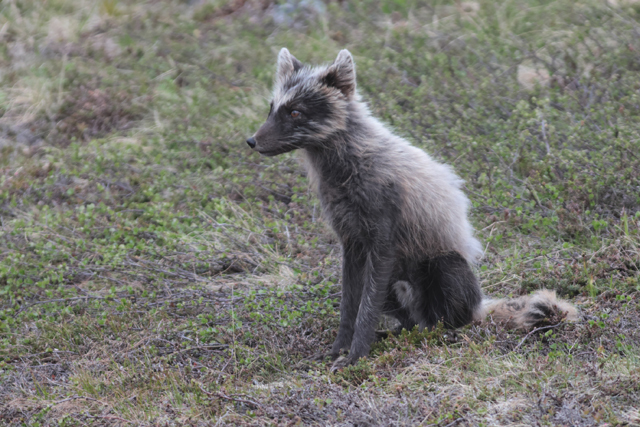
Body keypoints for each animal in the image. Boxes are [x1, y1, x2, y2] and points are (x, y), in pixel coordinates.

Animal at [248, 48, 576, 370]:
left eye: (295, 112)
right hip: (391, 285)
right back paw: (394, 334)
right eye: (271, 108)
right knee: (408, 324)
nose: (251, 141)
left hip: (443, 266)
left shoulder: (382, 243)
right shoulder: (352, 244)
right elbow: (350, 307)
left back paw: (439, 336)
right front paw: (338, 349)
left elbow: (365, 312)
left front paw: (356, 357)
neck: (347, 170)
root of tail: (481, 305)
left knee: (451, 323)